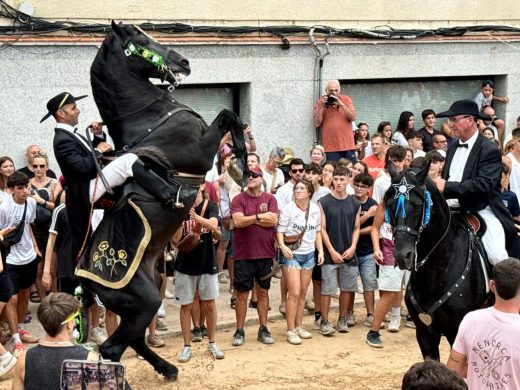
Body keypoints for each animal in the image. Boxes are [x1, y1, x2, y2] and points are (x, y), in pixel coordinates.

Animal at [82, 22, 248, 380]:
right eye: (140, 39)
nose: (183, 61)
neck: (149, 116)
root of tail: (85, 279)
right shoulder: (200, 150)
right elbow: (228, 115)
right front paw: (241, 163)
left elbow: (231, 117)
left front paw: (240, 164)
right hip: (144, 301)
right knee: (112, 349)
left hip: (147, 295)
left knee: (131, 342)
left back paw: (168, 368)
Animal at [386, 161, 492, 360]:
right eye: (389, 205)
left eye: (418, 205)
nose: (402, 256)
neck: (437, 270)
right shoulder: (424, 332)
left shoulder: (457, 332)